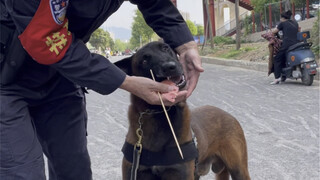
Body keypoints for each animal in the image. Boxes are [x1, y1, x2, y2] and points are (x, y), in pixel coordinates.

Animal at [114, 41, 250, 179]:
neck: (158, 113)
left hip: (238, 170)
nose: (170, 67)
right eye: (144, 60)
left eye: (165, 48)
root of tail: (227, 114)